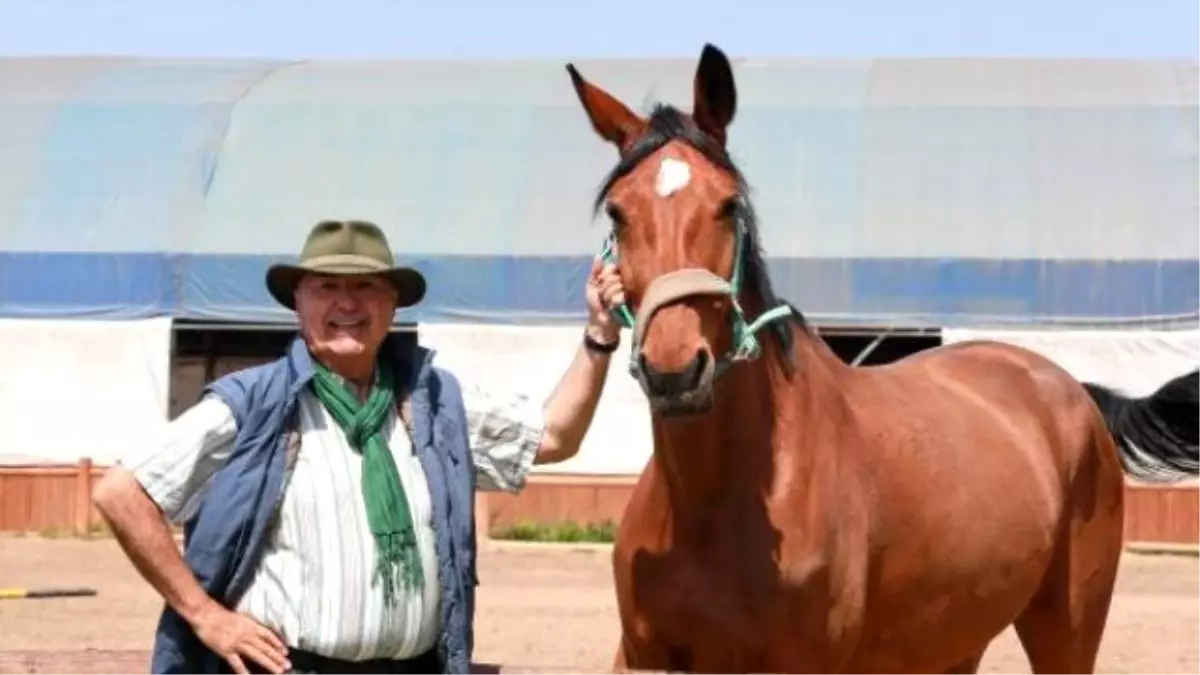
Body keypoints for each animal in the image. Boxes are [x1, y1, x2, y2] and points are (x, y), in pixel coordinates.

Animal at [561, 44, 1200, 667]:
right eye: (617, 212)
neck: (714, 505)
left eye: (729, 205)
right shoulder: (639, 654)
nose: (674, 370)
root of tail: (1070, 390)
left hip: (1067, 626)